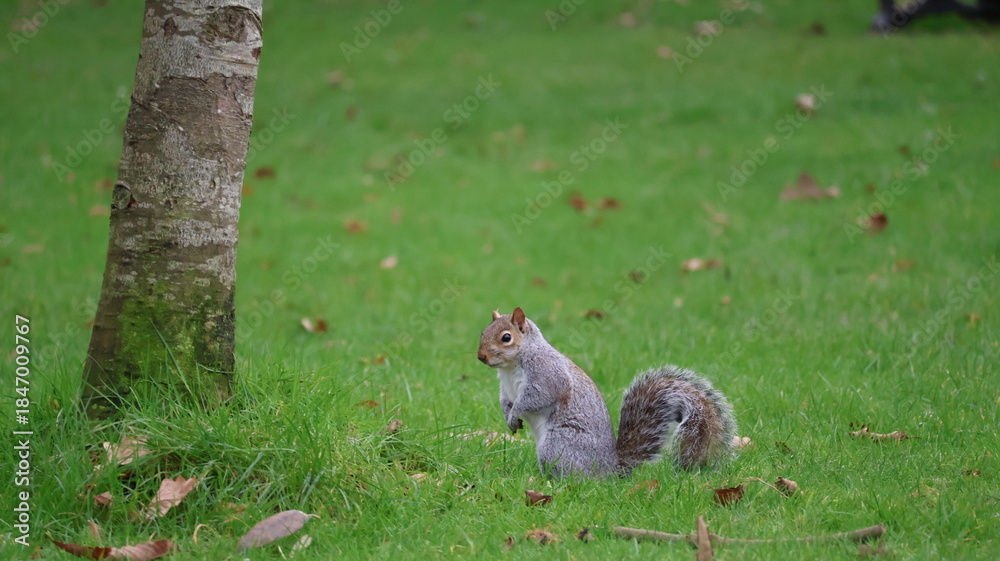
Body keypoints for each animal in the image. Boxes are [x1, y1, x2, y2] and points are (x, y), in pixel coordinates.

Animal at [477, 307, 737, 478]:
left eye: (506, 337)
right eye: (482, 332)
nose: (481, 357)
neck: (510, 367)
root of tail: (609, 468)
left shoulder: (545, 373)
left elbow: (537, 396)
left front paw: (516, 412)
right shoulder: (506, 386)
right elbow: (505, 399)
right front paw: (508, 414)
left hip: (558, 444)